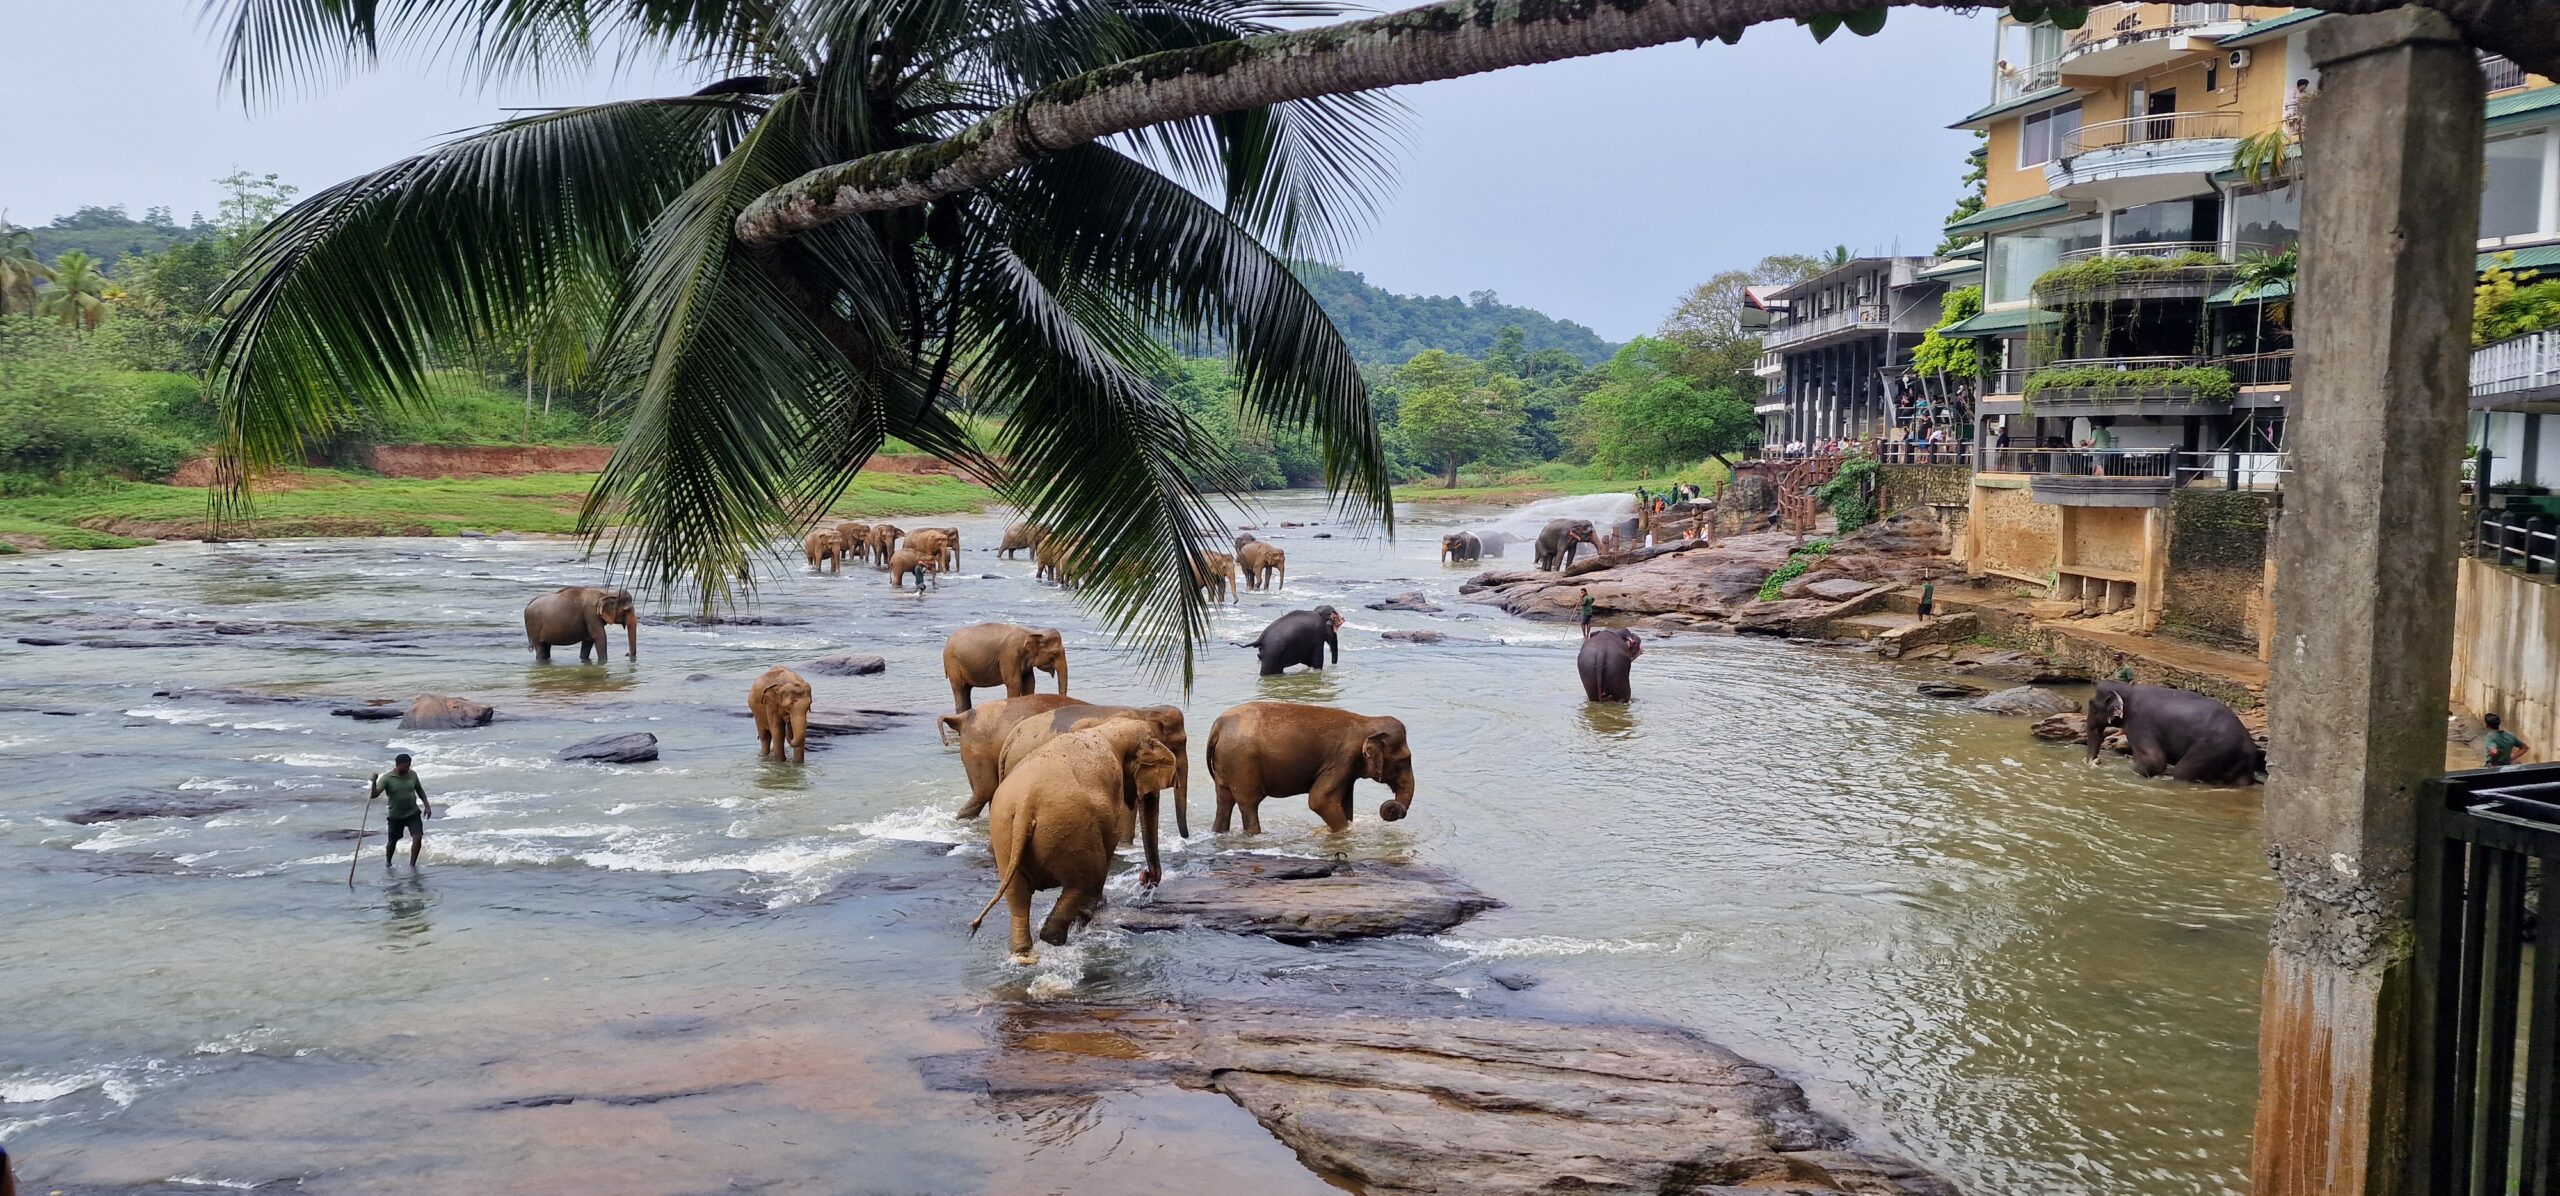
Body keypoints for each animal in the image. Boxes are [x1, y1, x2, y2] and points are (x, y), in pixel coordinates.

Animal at [969, 715, 1176, 963]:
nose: (1146, 877)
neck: (1108, 728)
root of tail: (1025, 805)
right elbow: (1110, 843)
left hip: (1005, 833)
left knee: (1017, 895)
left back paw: (1025, 953)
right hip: (1073, 831)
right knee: (1085, 879)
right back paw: (1064, 934)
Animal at [1205, 701, 1415, 834]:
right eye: (1403, 761)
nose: (1392, 808)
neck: (1368, 721)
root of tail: (1218, 727)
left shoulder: (1347, 769)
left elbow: (1344, 802)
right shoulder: (1343, 760)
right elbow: (1319, 800)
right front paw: (1344, 833)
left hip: (1227, 765)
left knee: (1224, 802)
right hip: (1242, 764)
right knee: (1249, 804)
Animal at [2086, 681, 2266, 784]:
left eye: (2093, 707)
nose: (2096, 762)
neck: (2129, 690)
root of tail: (2248, 745)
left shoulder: (2138, 722)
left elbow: (2155, 761)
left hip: (2213, 749)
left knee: (2182, 772)